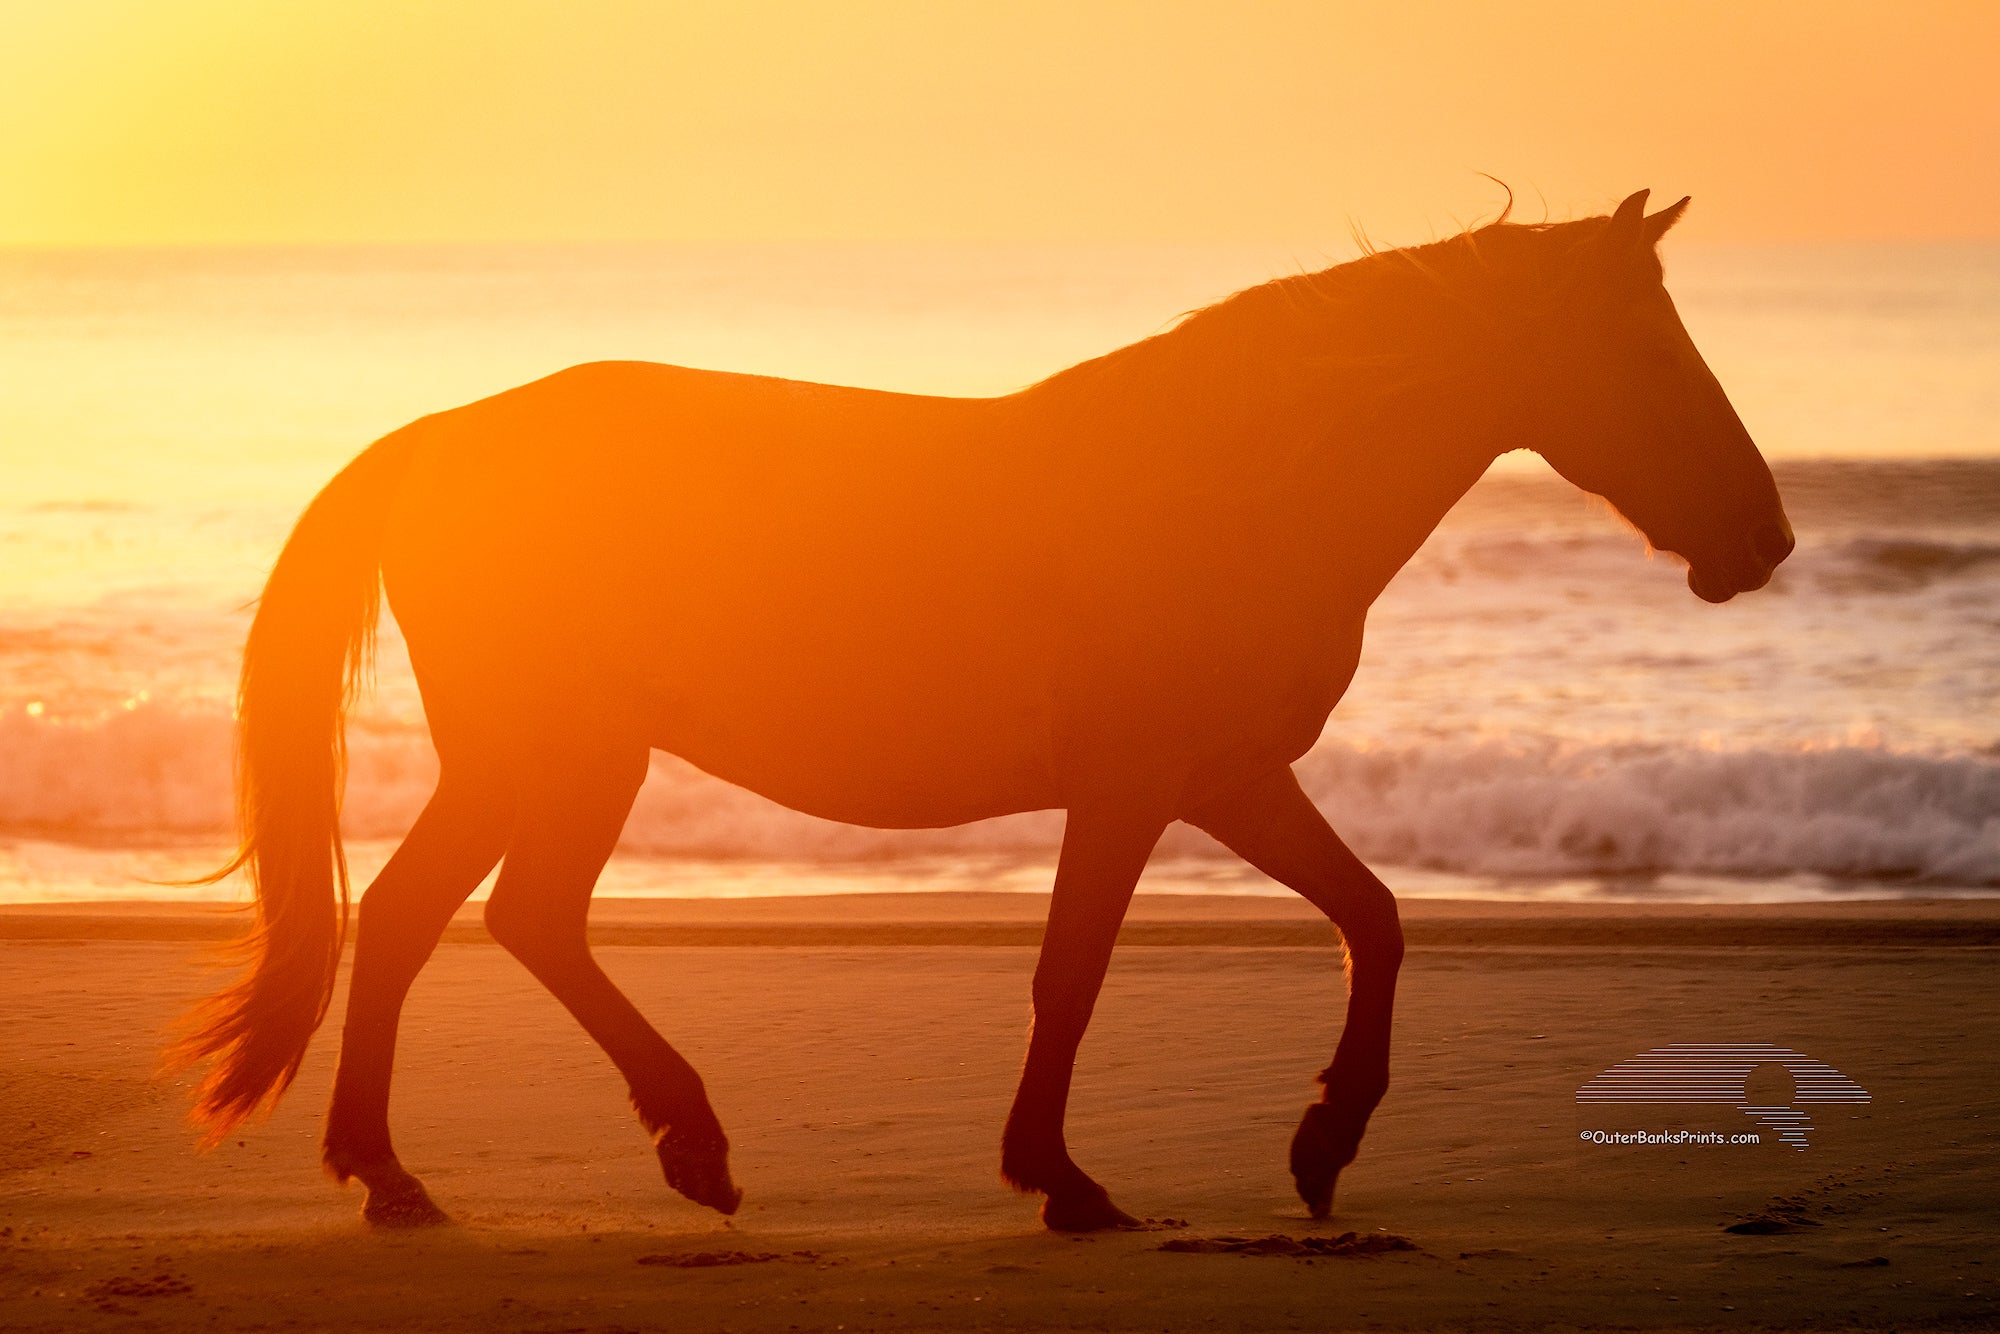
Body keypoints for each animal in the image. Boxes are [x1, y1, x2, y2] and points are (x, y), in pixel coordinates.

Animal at [172, 188, 1800, 1232]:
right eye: (1648, 350)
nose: (1765, 539)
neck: (1238, 483)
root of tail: (439, 436)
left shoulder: (1227, 777)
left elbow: (1375, 916)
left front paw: (1324, 1141)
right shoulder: (1134, 785)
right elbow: (1070, 973)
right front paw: (1060, 1177)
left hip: (543, 757)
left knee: (442, 918)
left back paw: (449, 1166)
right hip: (566, 751)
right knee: (495, 917)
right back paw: (588, 1149)